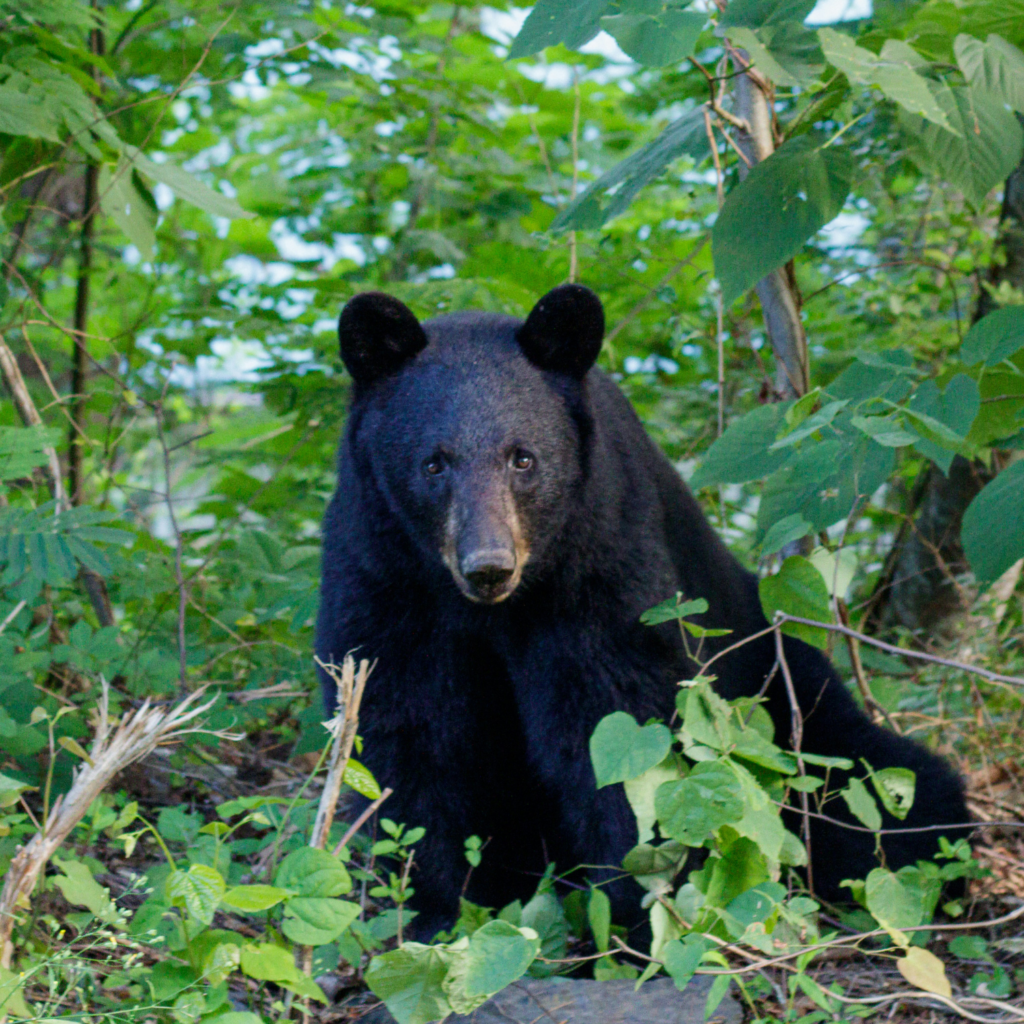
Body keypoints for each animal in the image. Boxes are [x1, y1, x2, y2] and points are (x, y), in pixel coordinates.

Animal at [317, 280, 966, 937]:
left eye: (523, 458)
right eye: (433, 462)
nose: (489, 565)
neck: (494, 609)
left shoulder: (600, 559)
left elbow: (615, 721)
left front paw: (635, 910)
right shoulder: (385, 578)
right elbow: (411, 733)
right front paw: (434, 912)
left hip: (790, 696)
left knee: (884, 787)